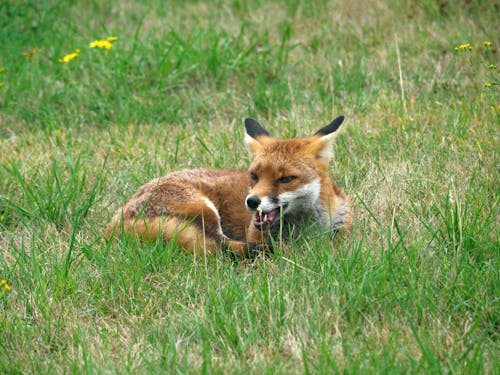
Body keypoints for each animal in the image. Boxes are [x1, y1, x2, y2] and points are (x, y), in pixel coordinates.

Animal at [106, 116, 352, 258]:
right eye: (254, 175)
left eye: (286, 179)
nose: (252, 201)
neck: (308, 229)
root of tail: (114, 224)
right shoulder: (254, 234)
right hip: (204, 209)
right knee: (222, 247)